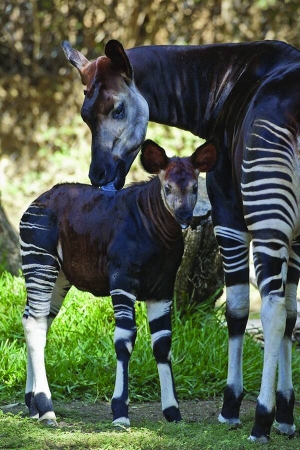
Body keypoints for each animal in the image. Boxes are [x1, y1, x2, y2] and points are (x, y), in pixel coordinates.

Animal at [19, 139, 217, 428]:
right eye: (167, 188)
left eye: (194, 187)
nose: (184, 216)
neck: (157, 233)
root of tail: (35, 202)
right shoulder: (123, 281)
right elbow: (125, 340)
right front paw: (120, 411)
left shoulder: (162, 289)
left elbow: (162, 343)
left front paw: (173, 411)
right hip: (40, 261)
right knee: (35, 323)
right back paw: (46, 409)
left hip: (60, 275)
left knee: (36, 320)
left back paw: (32, 404)